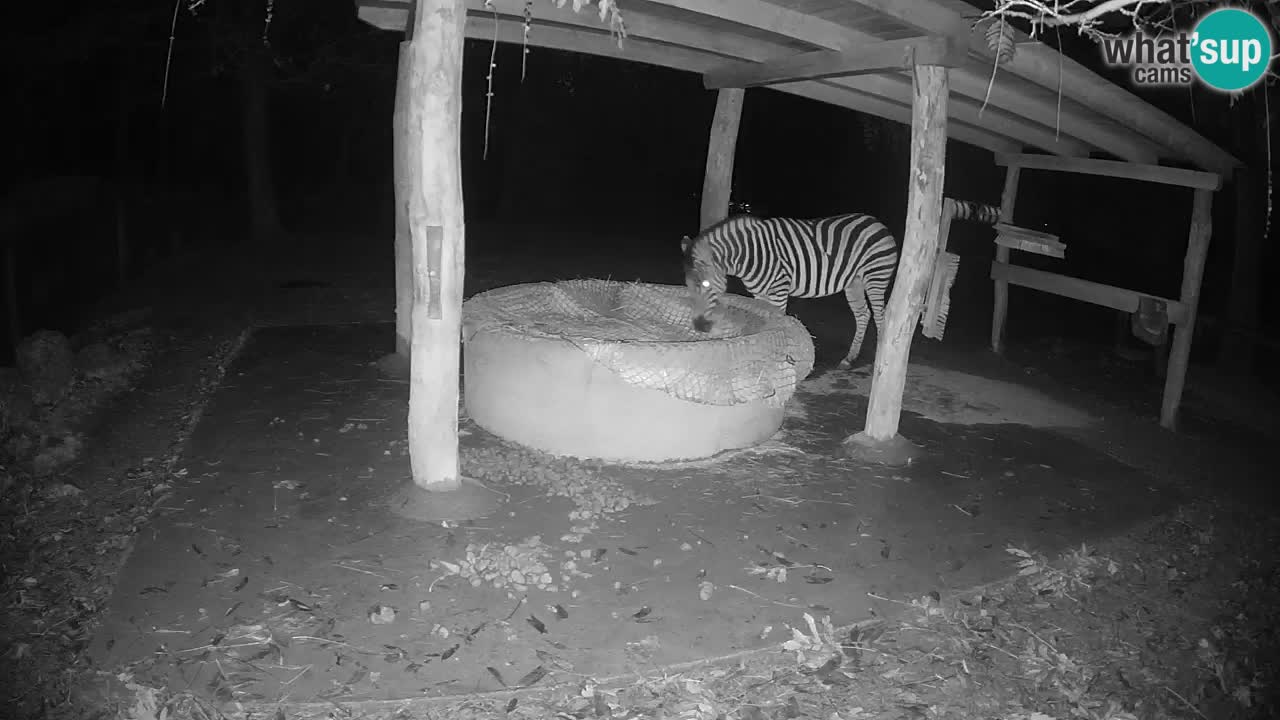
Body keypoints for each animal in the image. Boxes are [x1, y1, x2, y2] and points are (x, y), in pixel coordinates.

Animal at [682, 212, 900, 369]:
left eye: (706, 285)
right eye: (688, 286)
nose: (699, 326)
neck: (749, 256)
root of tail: (875, 221)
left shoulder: (779, 291)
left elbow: (776, 324)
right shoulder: (758, 293)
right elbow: (763, 324)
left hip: (876, 277)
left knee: (880, 317)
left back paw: (880, 361)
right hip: (854, 282)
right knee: (863, 314)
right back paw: (850, 358)